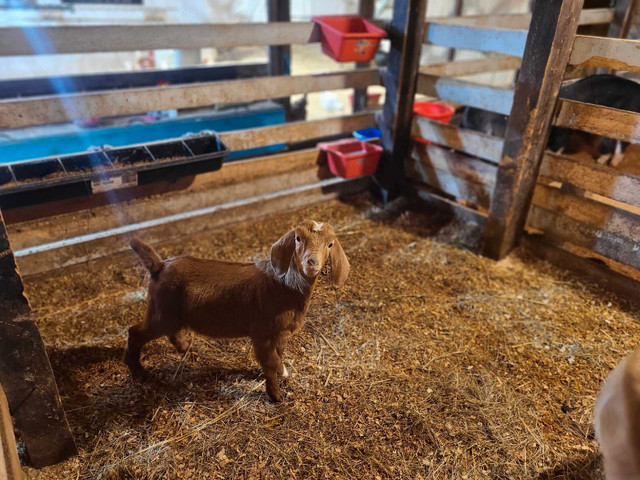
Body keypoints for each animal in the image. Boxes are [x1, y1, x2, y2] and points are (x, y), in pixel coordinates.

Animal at [126, 221, 350, 402]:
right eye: (298, 238)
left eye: (330, 244)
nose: (312, 263)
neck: (284, 285)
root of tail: (159, 266)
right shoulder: (262, 333)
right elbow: (269, 362)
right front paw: (276, 396)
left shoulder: (280, 334)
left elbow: (278, 355)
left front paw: (282, 372)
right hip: (160, 313)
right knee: (135, 332)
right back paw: (139, 372)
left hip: (170, 314)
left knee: (172, 333)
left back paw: (188, 351)